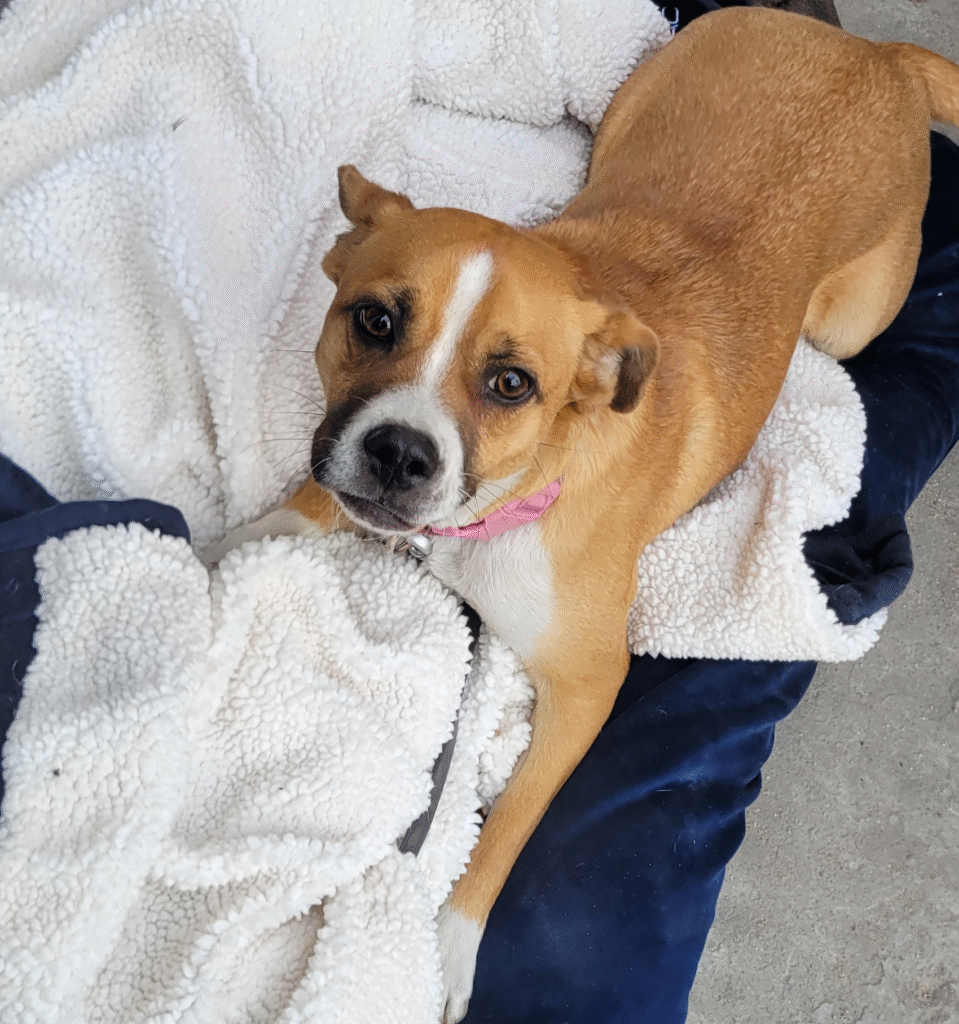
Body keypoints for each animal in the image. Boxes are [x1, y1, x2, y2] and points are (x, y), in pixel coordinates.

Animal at [210, 8, 959, 1020]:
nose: (400, 454)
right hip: (624, 112)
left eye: (510, 383)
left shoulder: (588, 684)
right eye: (372, 320)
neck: (504, 501)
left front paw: (450, 948)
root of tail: (876, 54)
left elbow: (513, 818)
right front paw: (214, 546)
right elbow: (291, 512)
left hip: (846, 323)